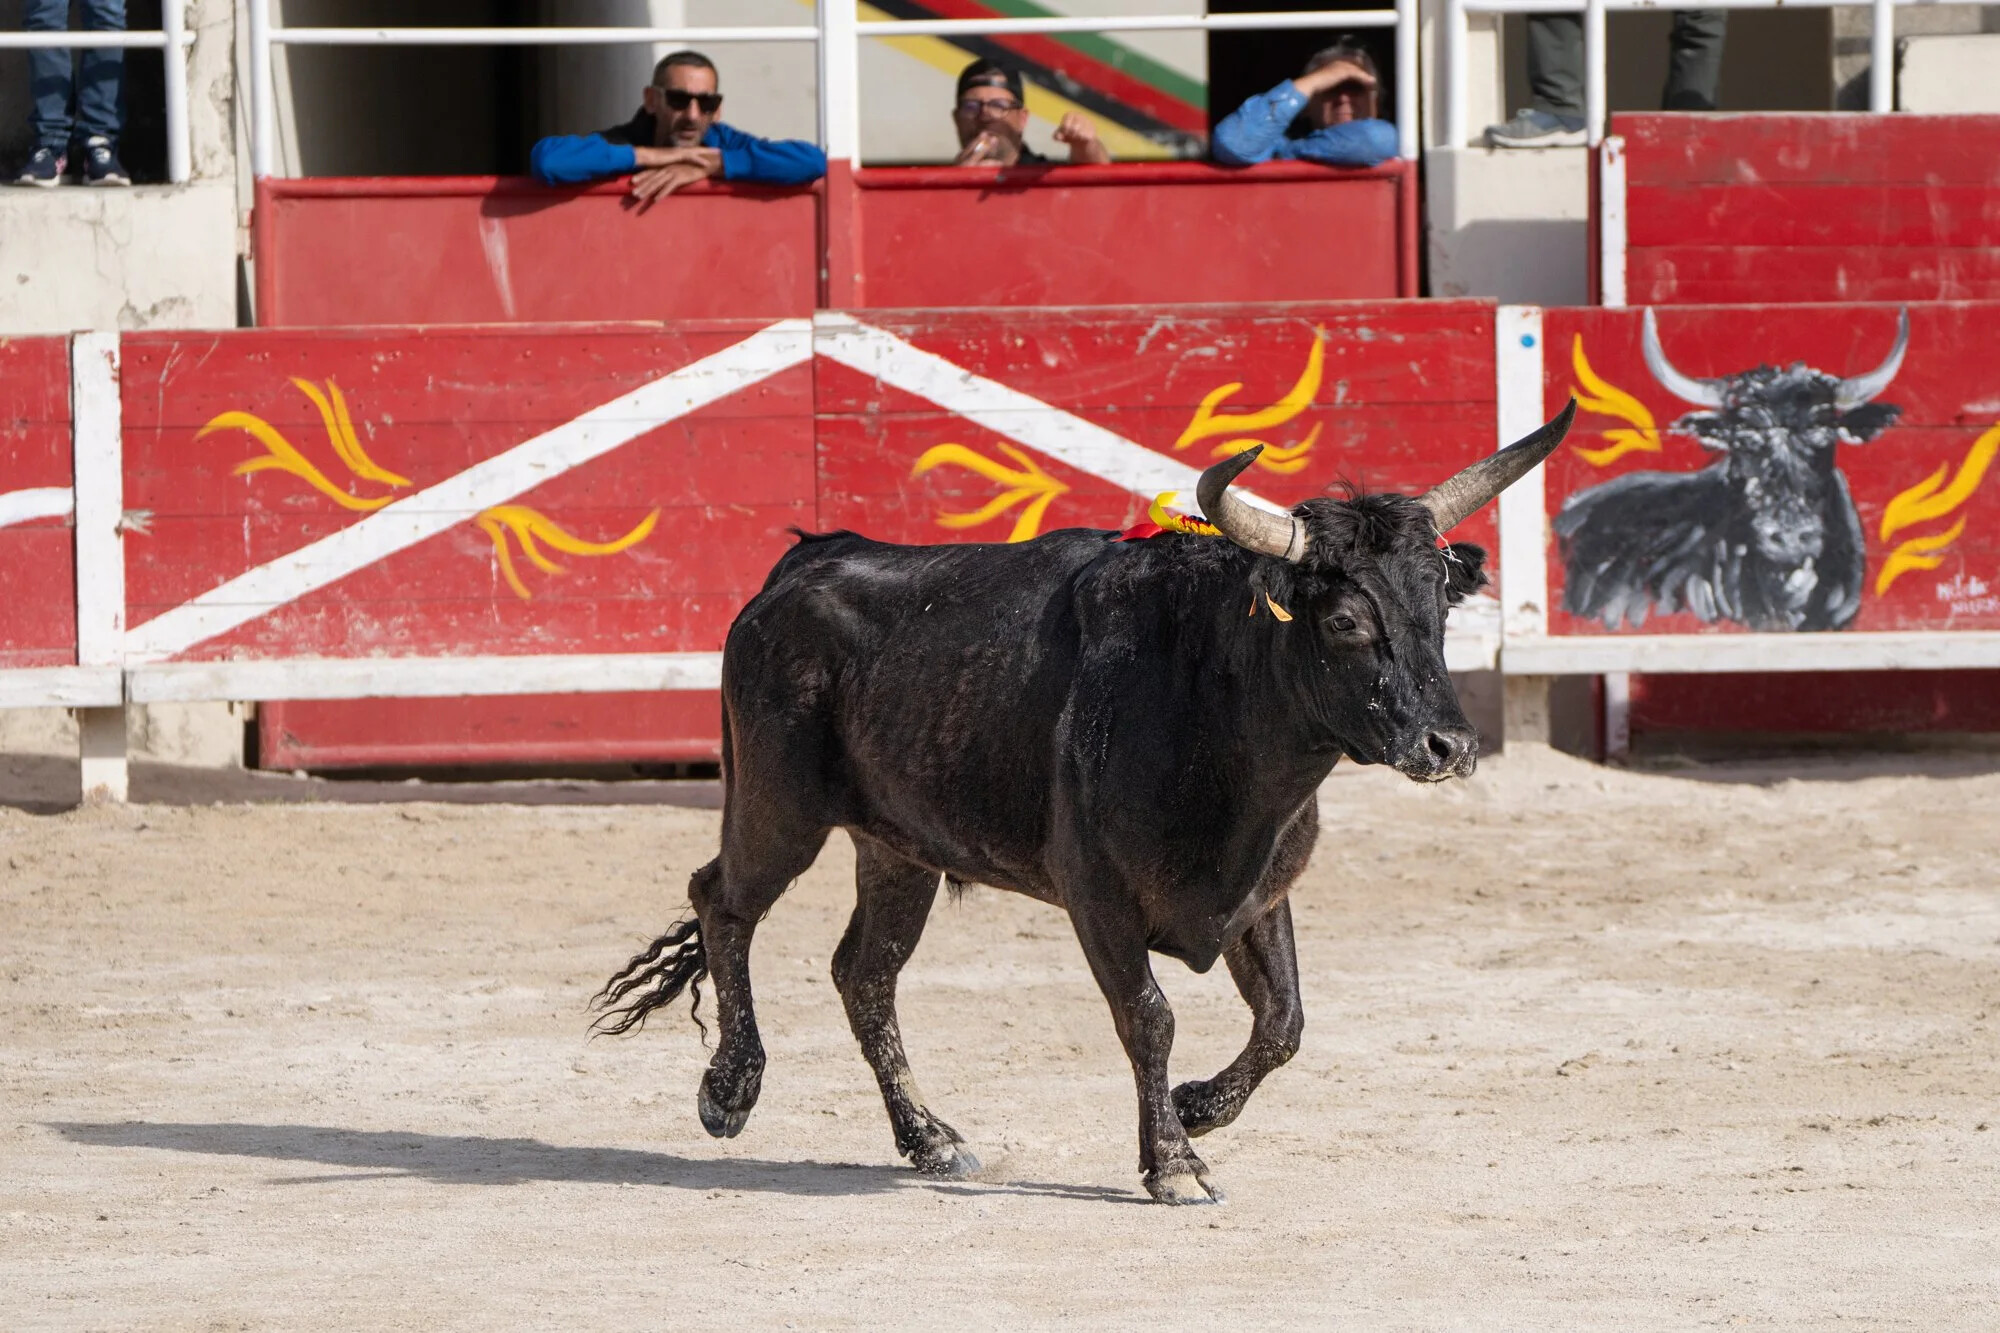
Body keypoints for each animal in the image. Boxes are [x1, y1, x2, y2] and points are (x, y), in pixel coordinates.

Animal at [595, 402, 1577, 1205]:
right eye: (1344, 621)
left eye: (1438, 612)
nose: (1450, 746)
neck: (1211, 698)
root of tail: (802, 561)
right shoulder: (1097, 895)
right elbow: (1150, 1014)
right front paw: (1175, 1163)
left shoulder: (1261, 889)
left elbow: (1285, 1021)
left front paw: (1197, 1107)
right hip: (778, 808)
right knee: (724, 901)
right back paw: (729, 1090)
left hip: (899, 848)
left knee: (864, 975)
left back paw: (933, 1138)